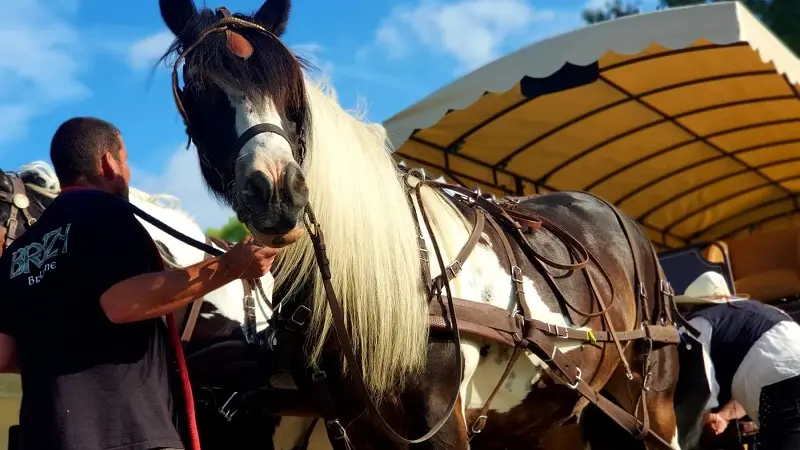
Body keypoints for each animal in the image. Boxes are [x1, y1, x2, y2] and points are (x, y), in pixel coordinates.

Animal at [159, 0, 684, 450]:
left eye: (291, 91)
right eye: (198, 90)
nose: (276, 191)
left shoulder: (438, 423)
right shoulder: (355, 426)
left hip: (654, 404)